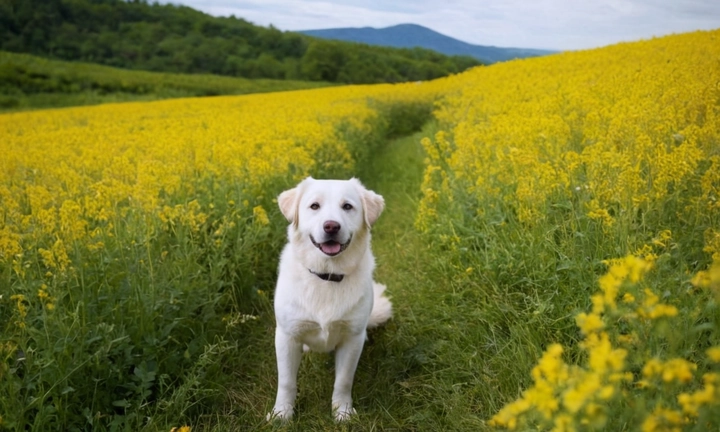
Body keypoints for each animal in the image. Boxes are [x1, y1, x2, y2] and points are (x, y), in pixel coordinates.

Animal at [270, 176, 394, 422]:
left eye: (347, 206)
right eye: (314, 206)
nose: (331, 226)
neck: (326, 276)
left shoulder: (351, 339)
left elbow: (343, 381)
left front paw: (342, 412)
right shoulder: (286, 337)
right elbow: (287, 382)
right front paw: (282, 414)